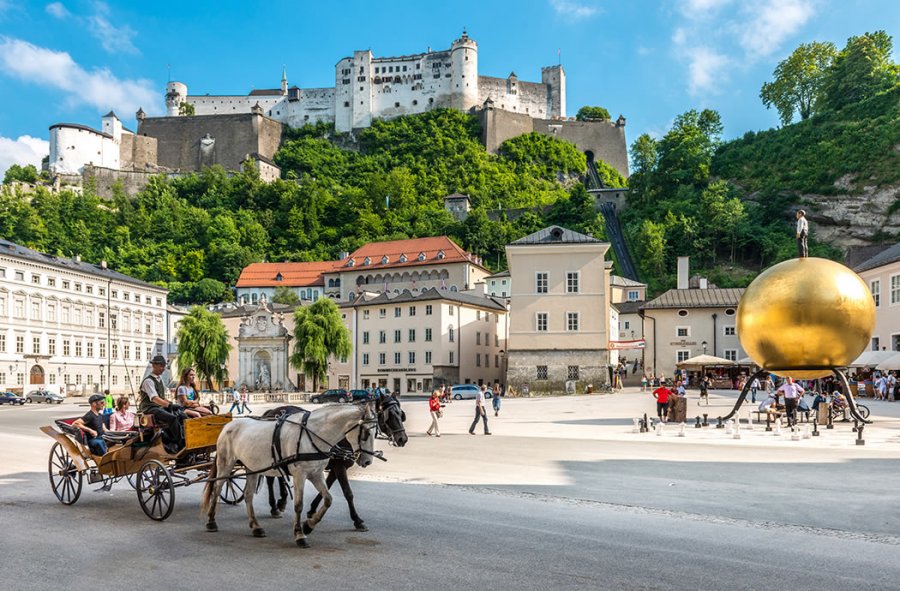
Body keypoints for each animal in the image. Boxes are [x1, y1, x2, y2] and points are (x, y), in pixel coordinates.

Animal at [200, 400, 376, 548]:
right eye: (366, 433)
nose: (368, 461)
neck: (313, 434)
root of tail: (228, 425)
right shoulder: (300, 474)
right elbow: (299, 505)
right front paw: (300, 534)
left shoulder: (316, 473)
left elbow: (328, 499)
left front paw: (309, 525)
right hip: (225, 464)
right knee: (217, 488)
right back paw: (211, 521)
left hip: (252, 467)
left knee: (248, 494)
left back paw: (256, 526)